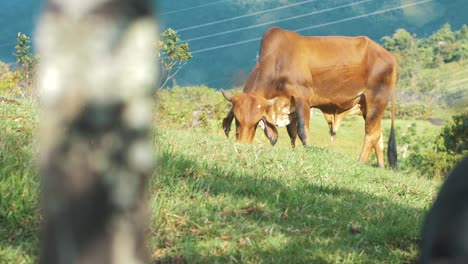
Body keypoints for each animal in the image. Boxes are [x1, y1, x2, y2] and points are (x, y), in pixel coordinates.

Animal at [221, 26, 396, 169]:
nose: (242, 145)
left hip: (376, 100)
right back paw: (380, 167)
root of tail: (390, 57)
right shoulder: (289, 107)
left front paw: (306, 151)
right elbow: (292, 134)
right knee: (379, 136)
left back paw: (360, 162)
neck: (278, 61)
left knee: (371, 134)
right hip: (366, 105)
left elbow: (302, 130)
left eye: (257, 122)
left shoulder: (302, 98)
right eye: (237, 120)